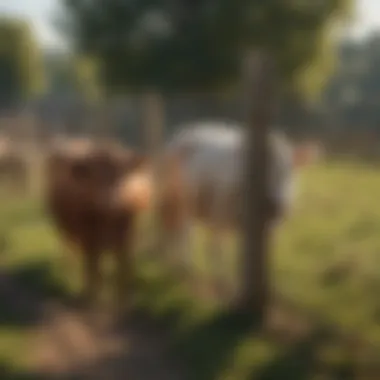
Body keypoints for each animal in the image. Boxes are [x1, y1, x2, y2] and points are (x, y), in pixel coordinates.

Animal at [44, 140, 148, 312]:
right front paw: (93, 304)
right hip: (68, 232)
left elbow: (124, 272)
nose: (108, 202)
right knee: (73, 256)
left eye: (120, 175)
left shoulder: (128, 242)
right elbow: (95, 273)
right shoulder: (91, 241)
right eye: (94, 177)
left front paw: (123, 306)